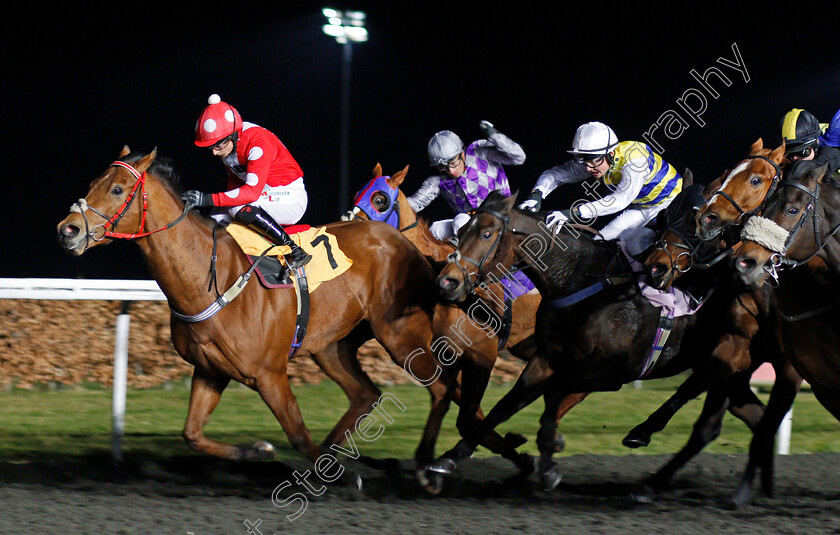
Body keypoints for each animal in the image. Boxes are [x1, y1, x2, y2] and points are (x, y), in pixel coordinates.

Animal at [54, 148, 460, 478]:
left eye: (118, 189)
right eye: (93, 183)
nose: (67, 230)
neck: (208, 278)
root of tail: (408, 245)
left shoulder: (269, 374)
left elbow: (297, 434)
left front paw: (343, 477)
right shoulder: (210, 371)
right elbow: (192, 434)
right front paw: (258, 450)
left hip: (402, 336)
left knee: (442, 387)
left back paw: (427, 462)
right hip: (333, 345)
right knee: (366, 395)